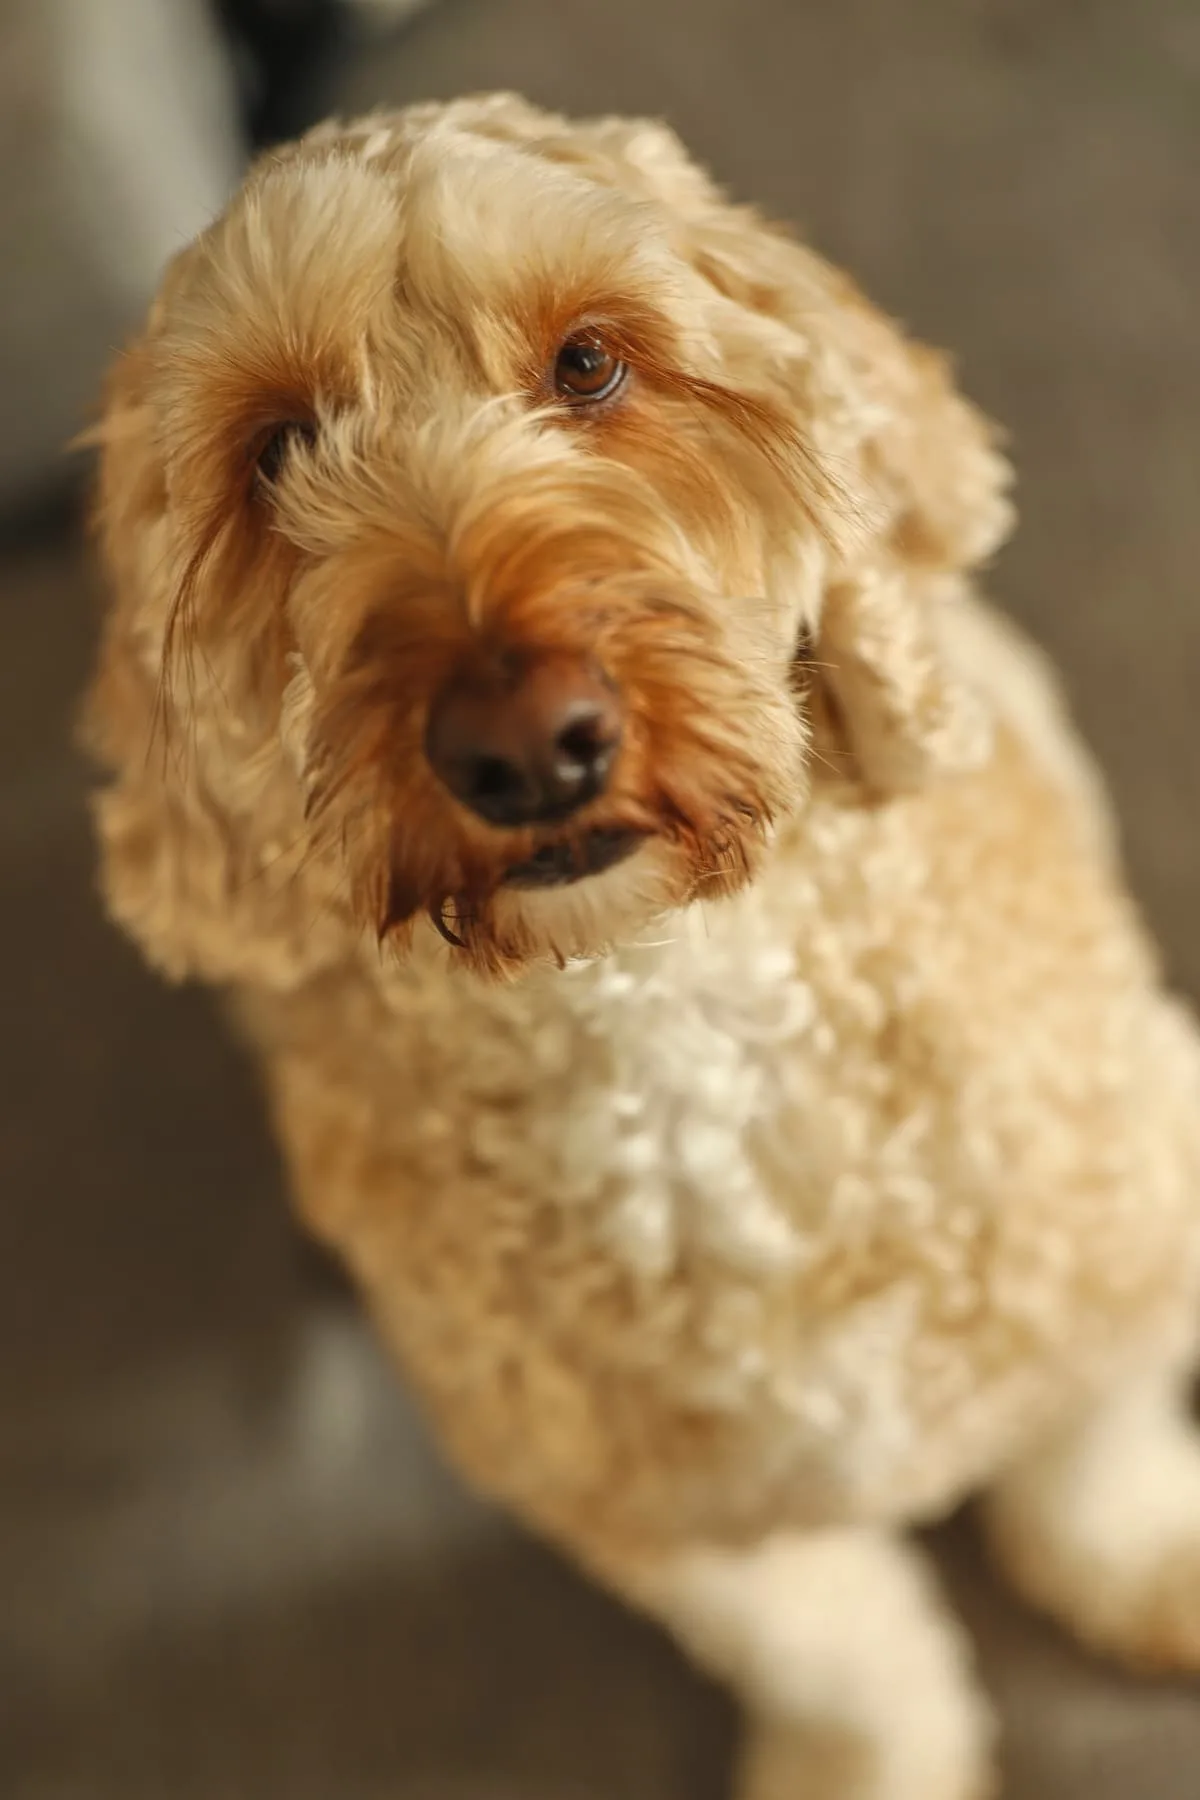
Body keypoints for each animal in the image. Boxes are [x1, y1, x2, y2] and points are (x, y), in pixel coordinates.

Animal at [82, 94, 1200, 1800]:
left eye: (592, 363)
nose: (521, 742)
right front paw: (858, 1766)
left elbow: (1097, 1460)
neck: (666, 1009)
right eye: (274, 448)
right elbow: (836, 1653)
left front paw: (1148, 1567)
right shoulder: (660, 1519)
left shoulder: (1134, 1241)